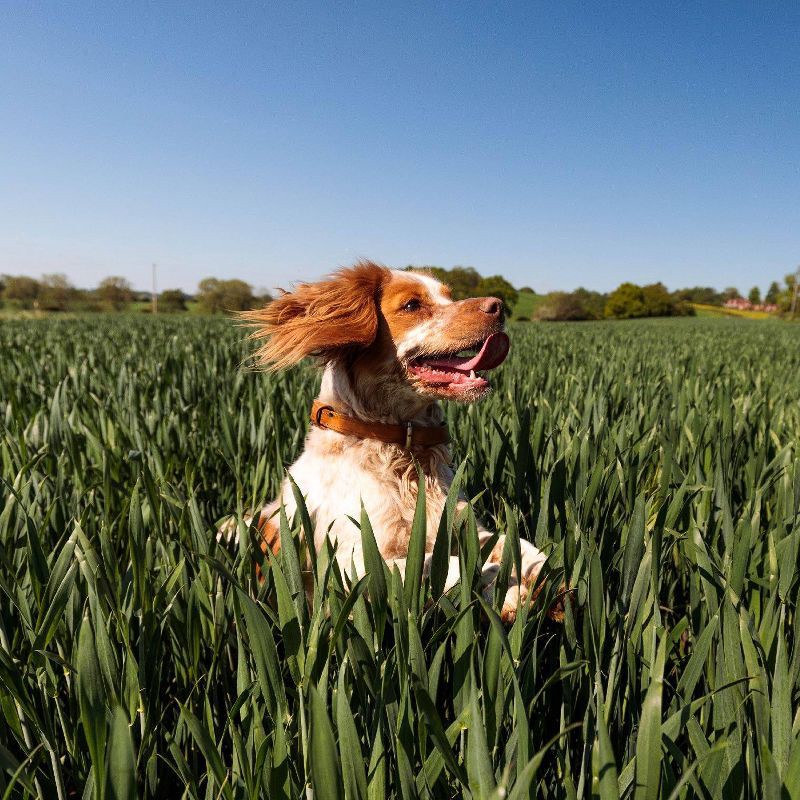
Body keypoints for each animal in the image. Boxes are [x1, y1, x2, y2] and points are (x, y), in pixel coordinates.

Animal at [236, 260, 564, 620]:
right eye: (411, 305)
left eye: (449, 297)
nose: (498, 306)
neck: (404, 453)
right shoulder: (353, 565)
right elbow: (452, 566)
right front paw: (507, 592)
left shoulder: (467, 527)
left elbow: (518, 545)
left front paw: (547, 576)